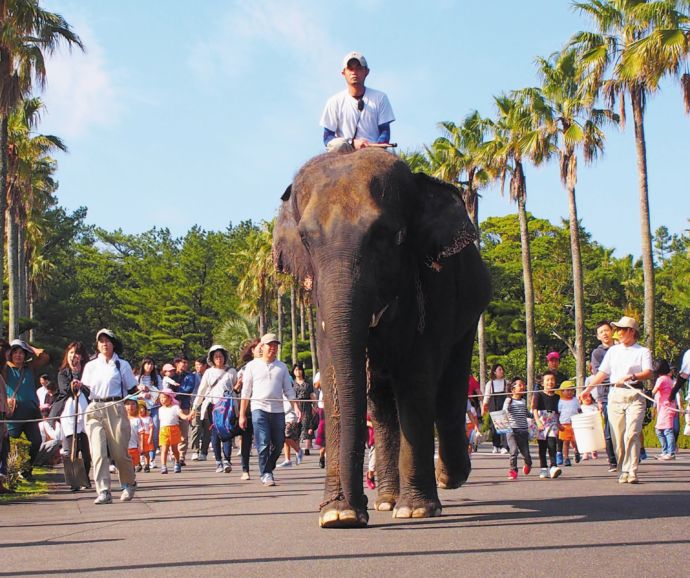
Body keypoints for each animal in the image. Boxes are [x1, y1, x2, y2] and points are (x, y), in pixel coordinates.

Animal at [272, 148, 490, 528]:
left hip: (469, 308)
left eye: (390, 235)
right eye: (307, 240)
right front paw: (337, 515)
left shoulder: (433, 290)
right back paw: (387, 500)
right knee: (384, 407)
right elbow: (335, 380)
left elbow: (416, 382)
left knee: (449, 387)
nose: (354, 508)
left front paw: (416, 510)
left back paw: (448, 477)